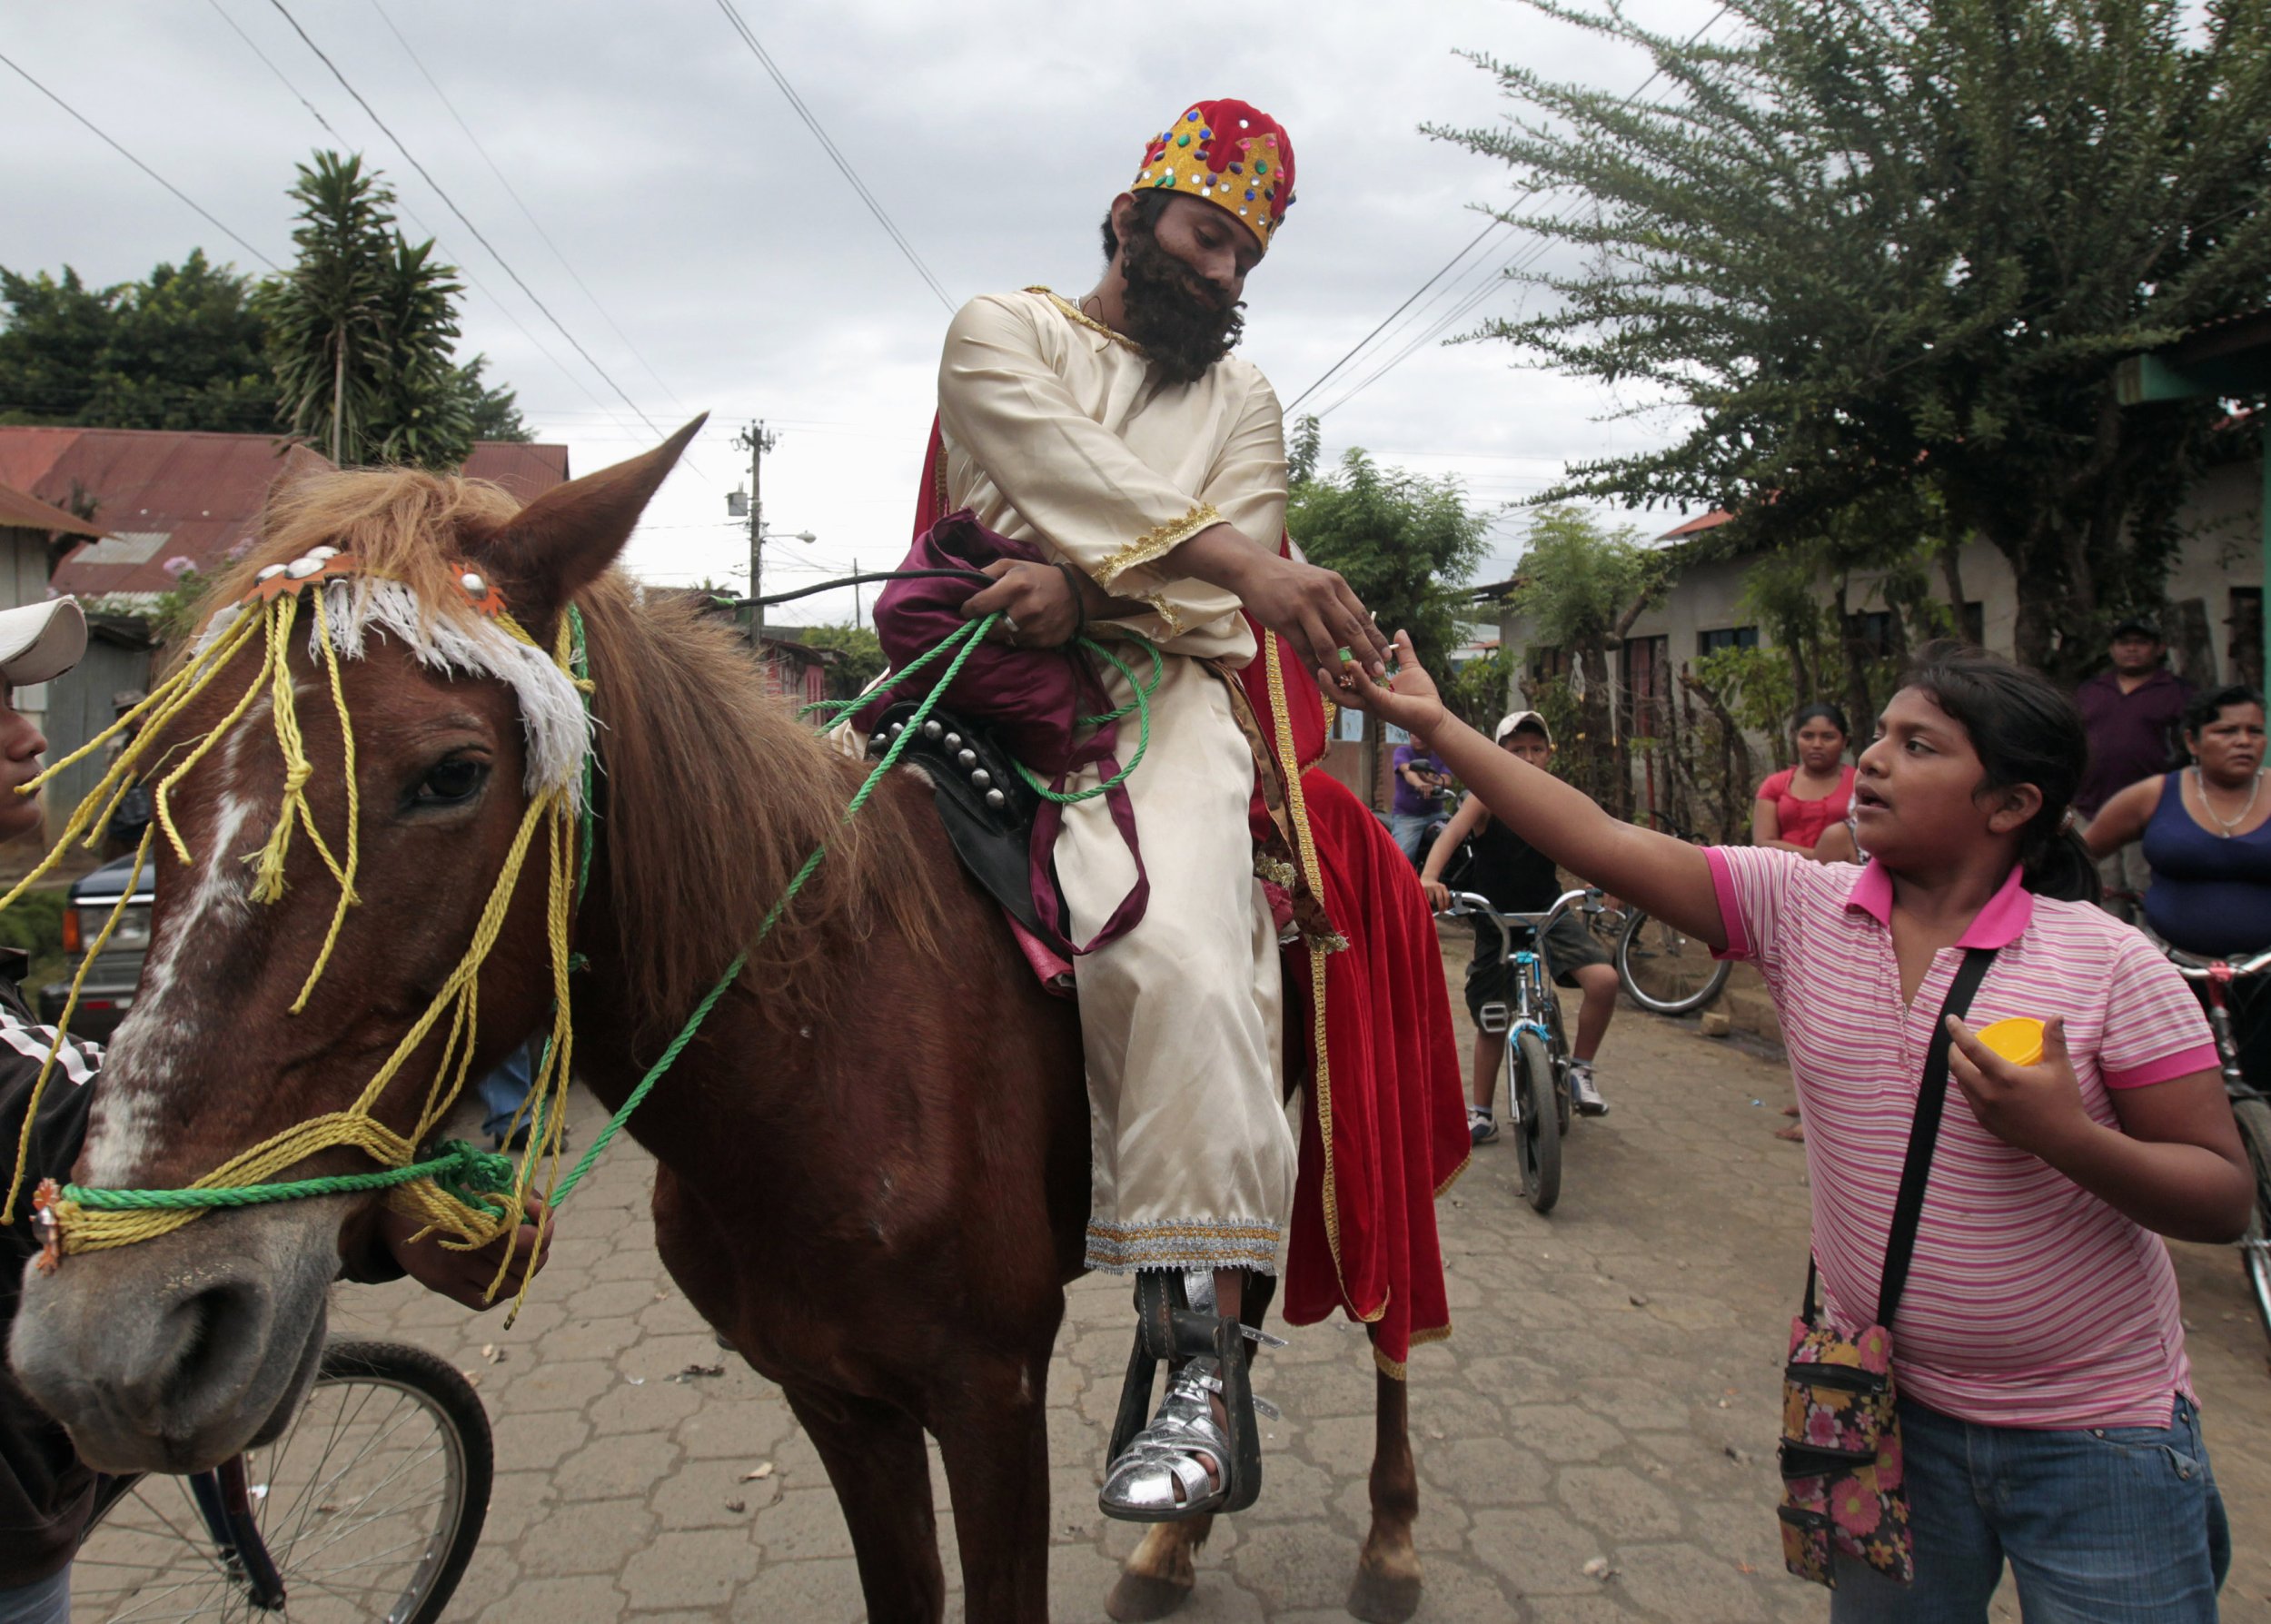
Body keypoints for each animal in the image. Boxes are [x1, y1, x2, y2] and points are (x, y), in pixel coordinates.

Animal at [8, 424, 1417, 1617]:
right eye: (144, 780)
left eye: (453, 773)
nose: (115, 1344)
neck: (826, 1057)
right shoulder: (834, 1396)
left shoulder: (992, 1397)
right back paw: (1177, 1536)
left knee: (1379, 1322)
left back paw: (1381, 1538)